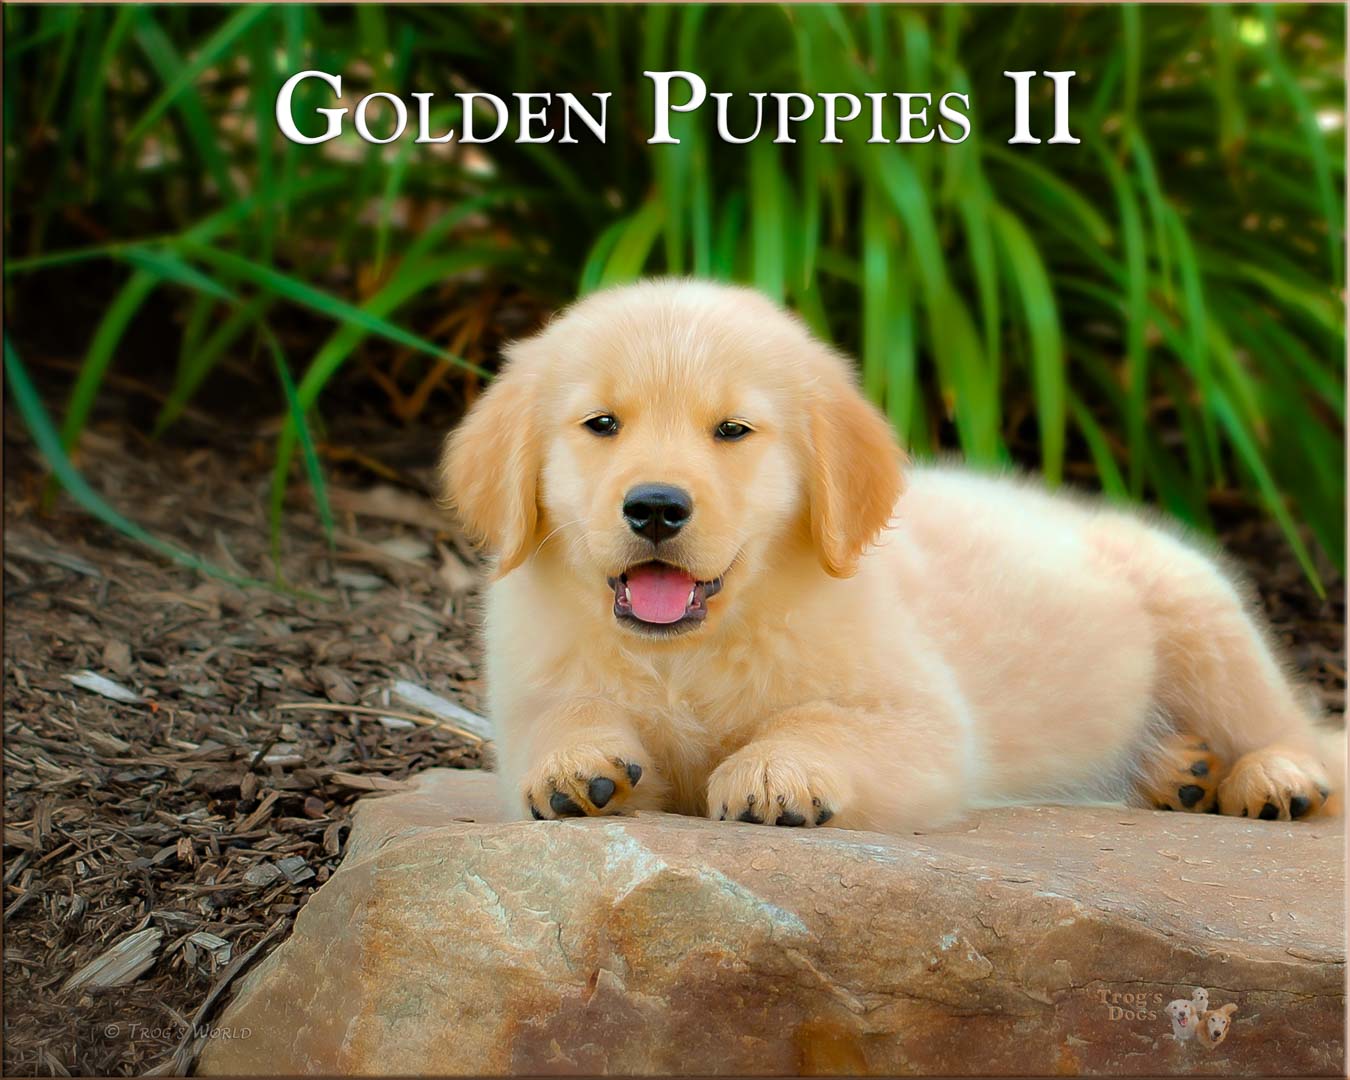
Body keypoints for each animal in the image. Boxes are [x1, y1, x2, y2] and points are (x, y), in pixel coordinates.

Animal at [440, 282, 1339, 831]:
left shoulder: (925, 722)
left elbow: (822, 719)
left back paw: (1275, 778)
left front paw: (776, 773)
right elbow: (563, 716)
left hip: (1204, 617)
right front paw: (576, 763)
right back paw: (1176, 769)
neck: (689, 652)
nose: (656, 507)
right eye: (601, 425)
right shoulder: (527, 696)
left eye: (732, 430)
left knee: (1299, 728)